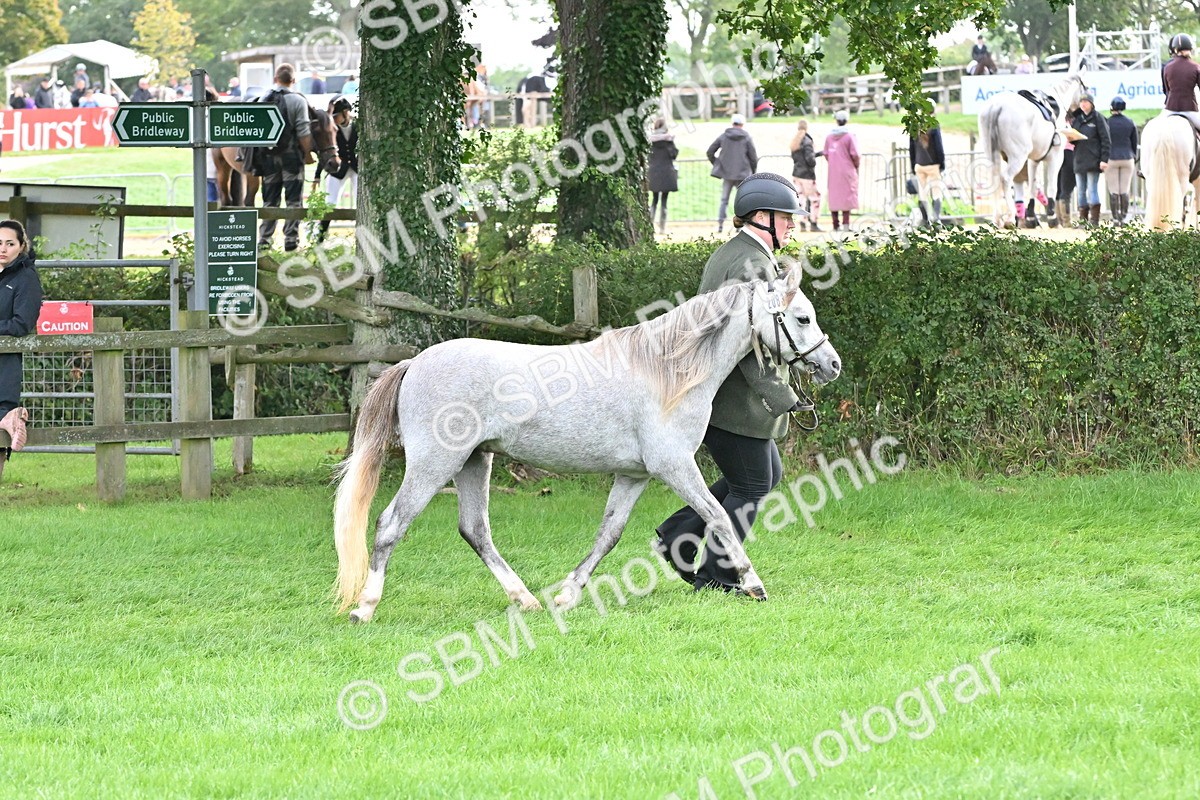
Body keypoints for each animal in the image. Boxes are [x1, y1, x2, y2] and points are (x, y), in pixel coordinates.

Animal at [211, 105, 340, 207]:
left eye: (335, 130)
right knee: (227, 198)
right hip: (223, 169)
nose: (335, 163)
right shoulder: (253, 176)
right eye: (317, 131)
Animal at [332, 270, 842, 622]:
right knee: (390, 524)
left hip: (475, 462)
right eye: (802, 317)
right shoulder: (675, 467)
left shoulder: (635, 475)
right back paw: (364, 607)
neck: (667, 371)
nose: (832, 364)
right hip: (433, 465)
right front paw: (753, 583)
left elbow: (608, 534)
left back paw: (526, 599)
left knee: (475, 530)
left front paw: (567, 594)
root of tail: (413, 363)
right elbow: (718, 516)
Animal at [977, 74, 1088, 228]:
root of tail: (997, 107)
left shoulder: (1033, 160)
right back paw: (1010, 218)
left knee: (995, 180)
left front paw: (1030, 217)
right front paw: (1052, 218)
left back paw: (997, 219)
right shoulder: (1055, 157)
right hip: (1018, 157)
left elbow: (1032, 186)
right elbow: (1051, 188)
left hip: (993, 154)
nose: (1082, 113)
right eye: (1086, 88)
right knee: (1005, 179)